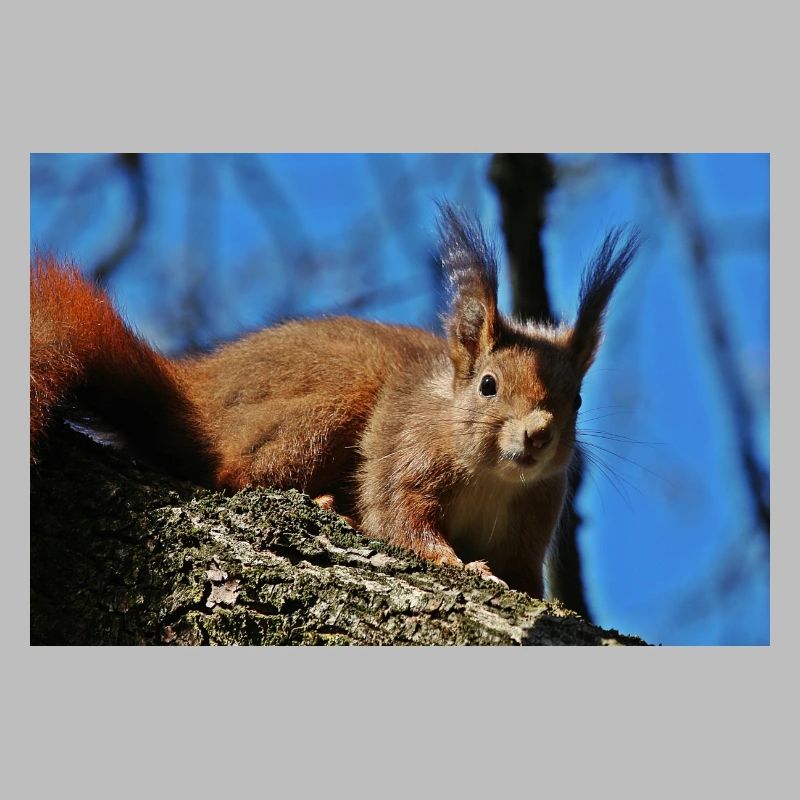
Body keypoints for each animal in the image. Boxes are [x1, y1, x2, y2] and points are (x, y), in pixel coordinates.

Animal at [30, 204, 640, 597]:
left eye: (577, 400)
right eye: (488, 385)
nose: (537, 434)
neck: (493, 475)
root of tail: (194, 391)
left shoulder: (531, 523)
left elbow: (522, 578)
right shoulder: (405, 457)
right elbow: (400, 521)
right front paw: (462, 566)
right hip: (328, 406)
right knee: (232, 473)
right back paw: (322, 503)